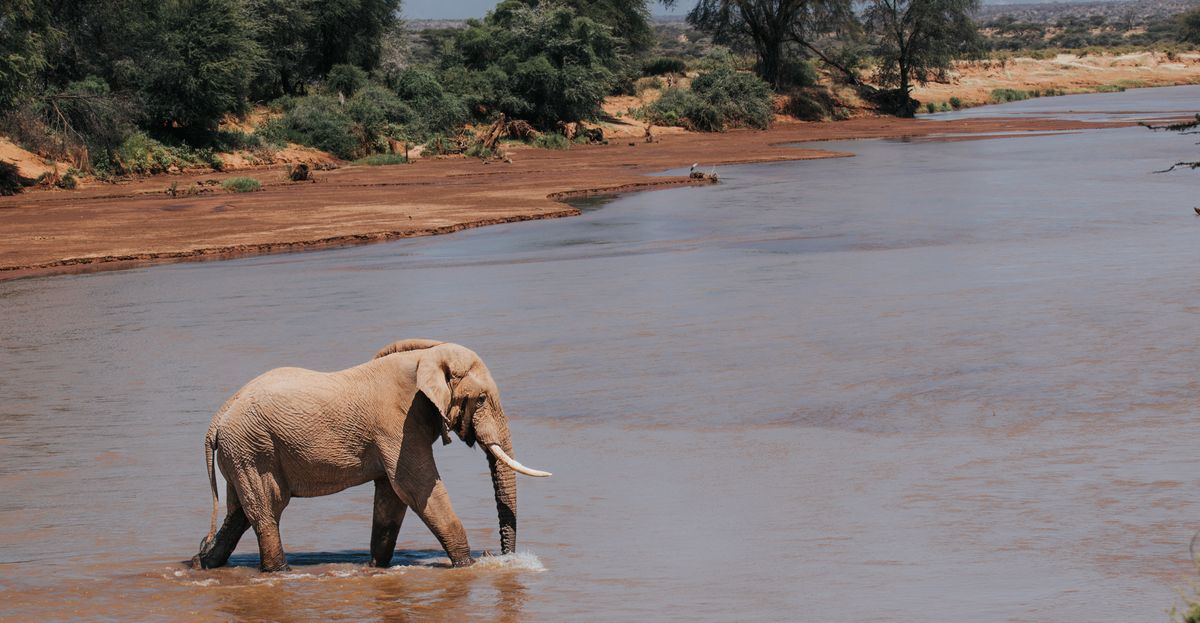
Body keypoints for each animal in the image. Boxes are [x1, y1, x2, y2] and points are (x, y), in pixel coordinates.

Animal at [190, 339, 550, 572]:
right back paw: (279, 572)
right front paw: (467, 566)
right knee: (267, 511)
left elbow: (392, 497)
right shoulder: (397, 425)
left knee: (240, 514)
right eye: (482, 399)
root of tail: (217, 420)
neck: (427, 357)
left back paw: (203, 563)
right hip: (254, 450)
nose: (498, 557)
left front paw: (377, 567)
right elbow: (417, 489)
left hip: (243, 453)